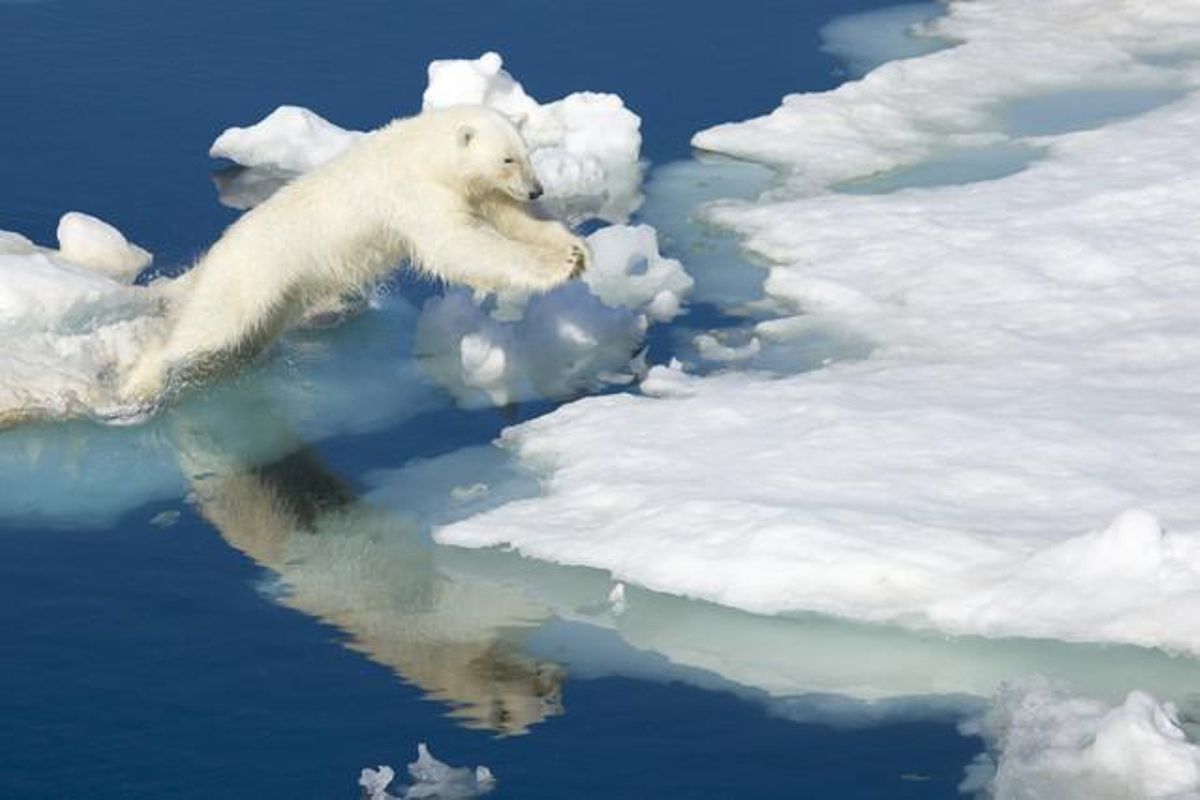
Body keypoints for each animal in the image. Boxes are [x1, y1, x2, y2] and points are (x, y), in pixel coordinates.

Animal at [123, 104, 590, 407]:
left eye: (528, 154)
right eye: (507, 159)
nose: (537, 190)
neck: (422, 152)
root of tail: (216, 252)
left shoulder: (471, 189)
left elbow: (510, 216)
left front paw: (576, 249)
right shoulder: (414, 193)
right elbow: (459, 246)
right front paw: (558, 266)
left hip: (279, 296)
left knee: (243, 336)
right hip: (251, 275)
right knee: (209, 326)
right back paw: (141, 386)